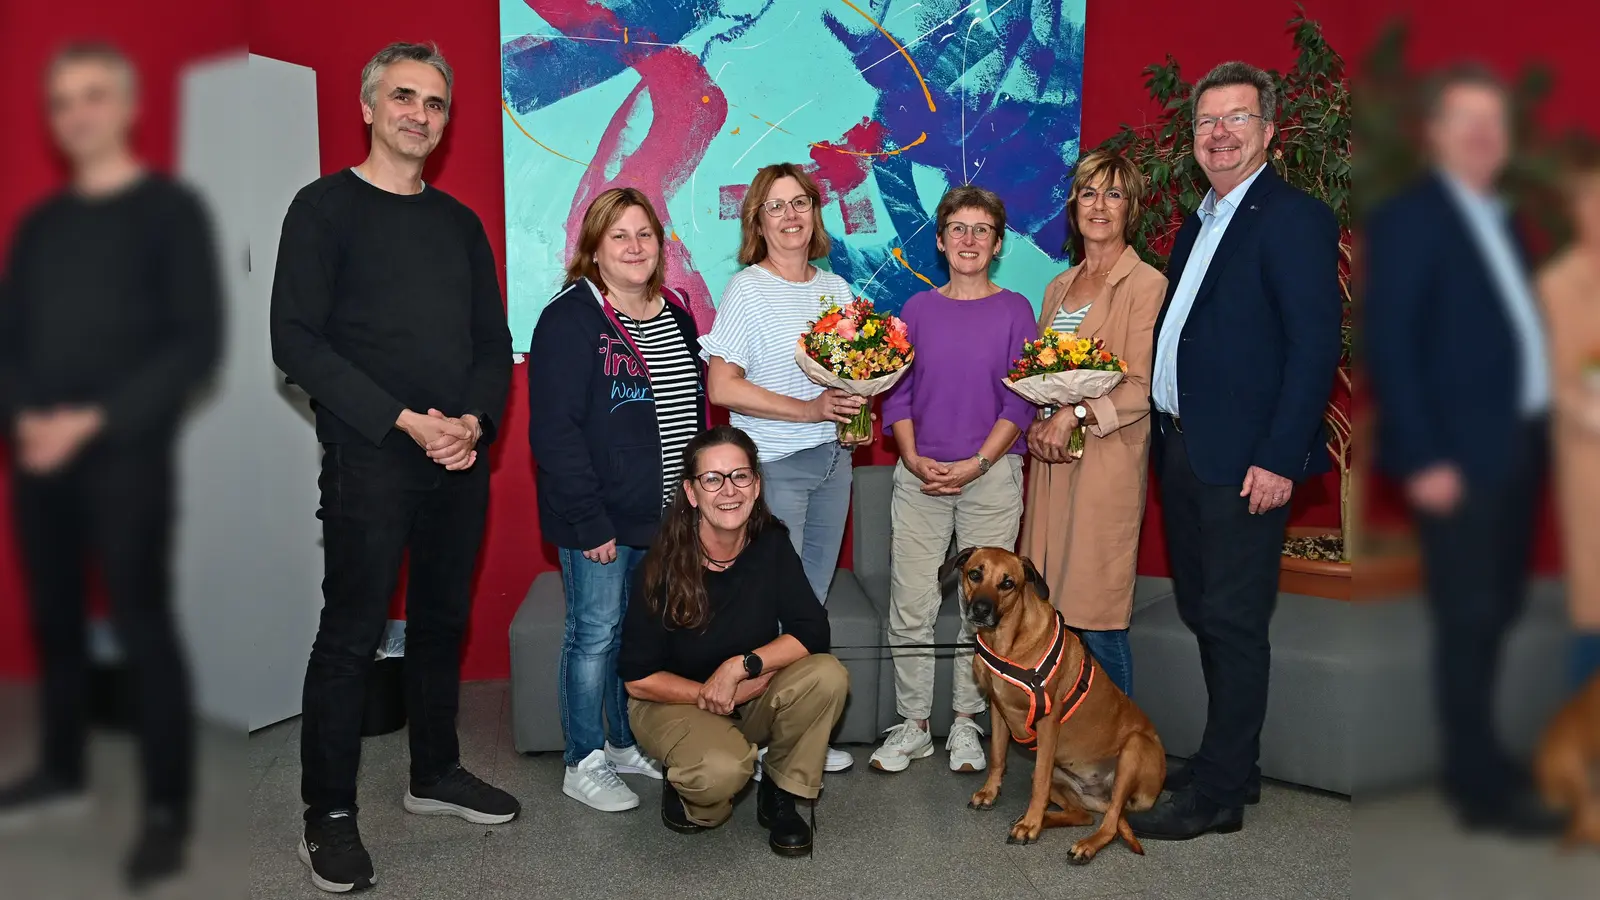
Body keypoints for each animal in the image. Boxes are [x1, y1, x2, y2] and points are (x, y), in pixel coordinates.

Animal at [940, 544, 1171, 858]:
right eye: (975, 574)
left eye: (1007, 583)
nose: (981, 609)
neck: (1007, 643)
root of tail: (1101, 796)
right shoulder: (999, 712)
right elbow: (998, 757)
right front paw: (990, 793)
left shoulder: (1048, 722)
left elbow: (1040, 779)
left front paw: (1031, 825)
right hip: (1066, 783)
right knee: (1083, 816)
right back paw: (1040, 820)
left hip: (1134, 749)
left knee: (1111, 822)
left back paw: (1082, 843)